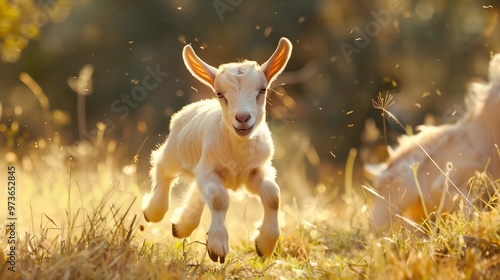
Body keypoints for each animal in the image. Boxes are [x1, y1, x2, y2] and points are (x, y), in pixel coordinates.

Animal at [142, 37, 292, 262]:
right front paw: (218, 247)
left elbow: (273, 195)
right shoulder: (209, 169)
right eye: (220, 94)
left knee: (197, 192)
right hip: (175, 152)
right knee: (163, 169)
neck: (237, 150)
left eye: (262, 90)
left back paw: (181, 225)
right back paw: (153, 211)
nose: (242, 118)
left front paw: (264, 245)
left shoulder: (256, 170)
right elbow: (219, 199)